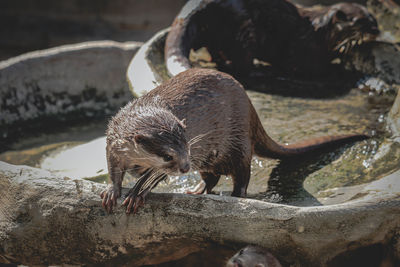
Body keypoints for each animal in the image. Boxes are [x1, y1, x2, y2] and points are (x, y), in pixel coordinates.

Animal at [101, 68, 368, 214]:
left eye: (187, 146)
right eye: (168, 155)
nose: (186, 167)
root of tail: (251, 108)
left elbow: (154, 175)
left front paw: (137, 193)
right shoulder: (112, 145)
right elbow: (114, 171)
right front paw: (112, 191)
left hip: (238, 144)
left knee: (242, 175)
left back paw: (234, 196)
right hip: (211, 159)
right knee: (212, 177)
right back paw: (196, 191)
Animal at [163, 0, 378, 79]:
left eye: (374, 18)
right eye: (361, 22)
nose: (376, 29)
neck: (319, 33)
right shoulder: (305, 50)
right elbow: (310, 69)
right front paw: (337, 69)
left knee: (215, 52)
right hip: (244, 29)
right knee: (242, 64)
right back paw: (258, 70)